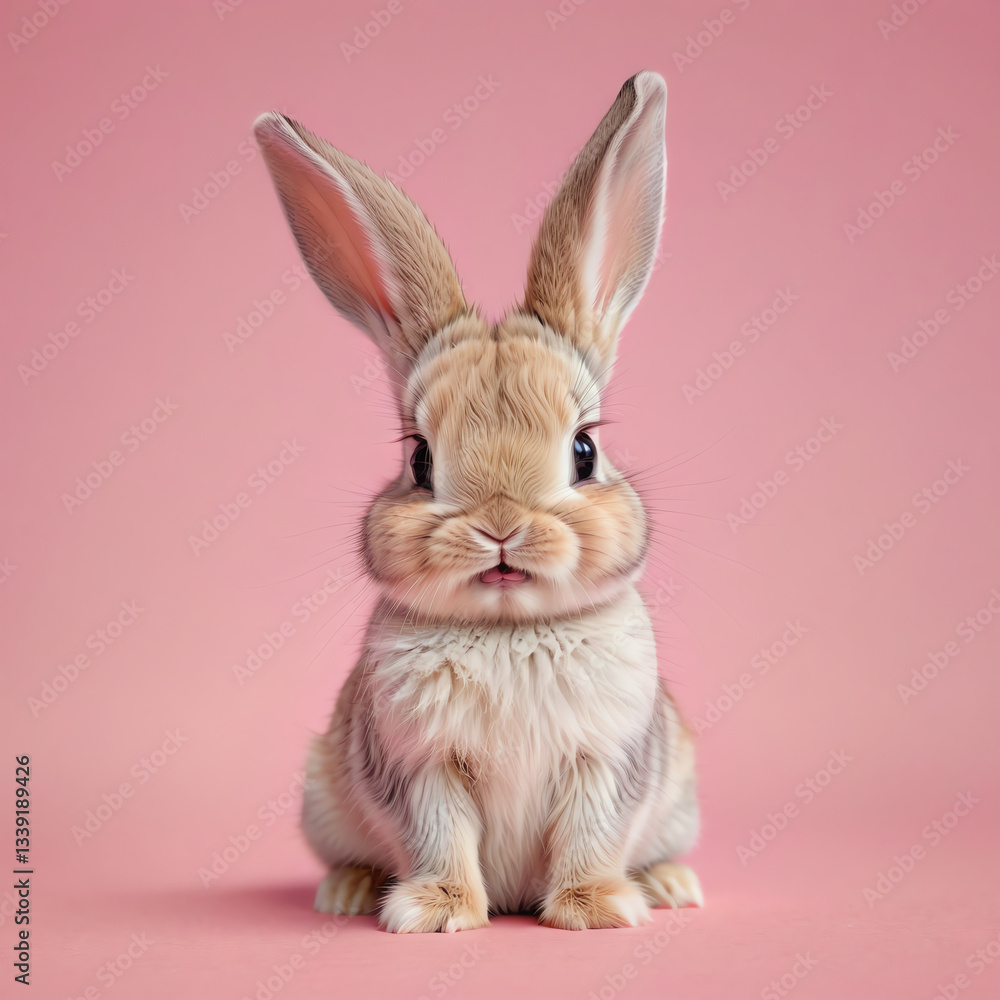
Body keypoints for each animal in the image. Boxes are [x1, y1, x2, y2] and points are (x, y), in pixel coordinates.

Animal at [253, 70, 701, 932]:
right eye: (419, 460)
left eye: (584, 450)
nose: (500, 527)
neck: (508, 630)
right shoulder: (422, 766)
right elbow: (440, 835)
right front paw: (433, 912)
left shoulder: (603, 760)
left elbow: (590, 834)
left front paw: (597, 908)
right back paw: (347, 892)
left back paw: (669, 886)